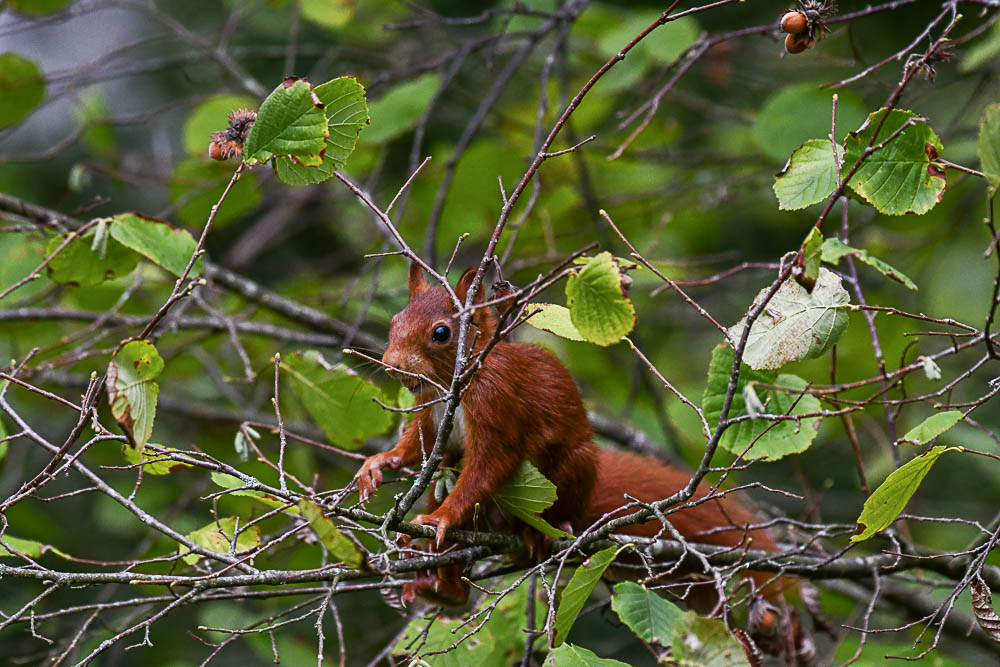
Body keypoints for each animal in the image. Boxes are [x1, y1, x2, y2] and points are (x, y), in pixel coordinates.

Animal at [356, 264, 808, 656]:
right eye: (395, 321)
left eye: (441, 332)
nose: (391, 365)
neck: (452, 385)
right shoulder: (431, 413)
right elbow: (418, 446)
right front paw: (380, 463)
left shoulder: (497, 403)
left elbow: (490, 463)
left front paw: (442, 517)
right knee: (449, 515)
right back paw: (441, 586)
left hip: (571, 471)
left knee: (549, 510)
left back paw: (539, 534)